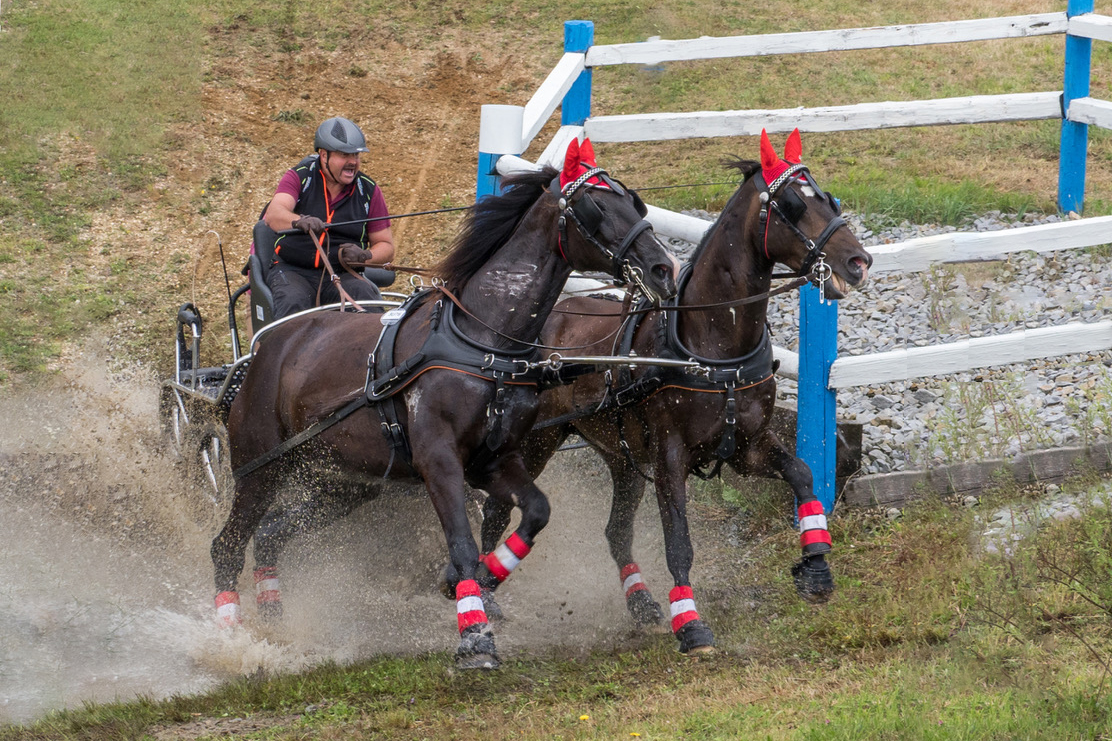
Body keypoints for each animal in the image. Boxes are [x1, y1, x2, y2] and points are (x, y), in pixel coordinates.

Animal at [209, 135, 676, 667]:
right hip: (259, 469)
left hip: (343, 482)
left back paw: (272, 618)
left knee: (268, 536)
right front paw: (475, 635)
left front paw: (483, 580)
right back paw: (226, 637)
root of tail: (263, 351)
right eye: (596, 207)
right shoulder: (439, 462)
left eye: (636, 203)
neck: (483, 340)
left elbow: (535, 512)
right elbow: (463, 543)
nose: (663, 269)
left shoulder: (495, 460)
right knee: (227, 546)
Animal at [478, 129, 867, 649]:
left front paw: (816, 568)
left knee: (616, 531)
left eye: (826, 196)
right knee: (497, 511)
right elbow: (679, 541)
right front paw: (691, 622)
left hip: (621, 456)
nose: (859, 261)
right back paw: (485, 595)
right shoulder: (670, 457)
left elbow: (803, 477)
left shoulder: (748, 445)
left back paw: (640, 600)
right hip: (536, 441)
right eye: (792, 204)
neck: (713, 346)